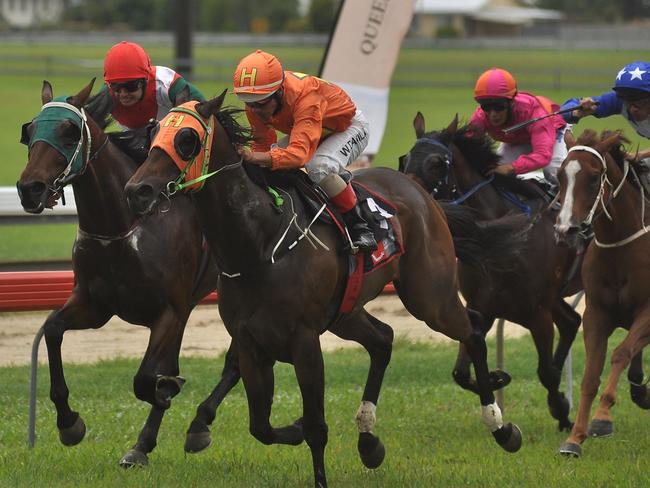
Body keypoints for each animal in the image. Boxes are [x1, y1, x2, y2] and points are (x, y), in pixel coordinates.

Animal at [15, 79, 233, 466]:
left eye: (69, 132)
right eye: (29, 132)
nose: (30, 189)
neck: (122, 225)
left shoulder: (167, 311)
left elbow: (146, 378)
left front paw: (166, 389)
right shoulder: (96, 305)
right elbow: (52, 329)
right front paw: (70, 424)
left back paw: (197, 425)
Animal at [124, 92, 520, 488]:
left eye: (187, 139)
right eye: (153, 133)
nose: (136, 191)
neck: (259, 243)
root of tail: (422, 193)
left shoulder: (304, 341)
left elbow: (316, 427)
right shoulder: (252, 342)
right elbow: (261, 426)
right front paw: (291, 426)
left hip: (428, 296)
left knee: (471, 330)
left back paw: (500, 426)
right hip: (346, 313)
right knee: (384, 339)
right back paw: (369, 441)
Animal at [400, 111, 584, 430]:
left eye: (437, 163)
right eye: (405, 159)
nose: (412, 199)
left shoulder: (537, 313)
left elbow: (546, 372)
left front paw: (561, 408)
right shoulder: (484, 306)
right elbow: (461, 373)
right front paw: (499, 378)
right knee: (572, 321)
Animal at [552, 130, 648, 458]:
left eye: (594, 178)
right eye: (560, 176)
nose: (565, 230)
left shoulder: (648, 313)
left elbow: (621, 353)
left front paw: (602, 418)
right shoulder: (596, 314)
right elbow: (590, 375)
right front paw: (574, 438)